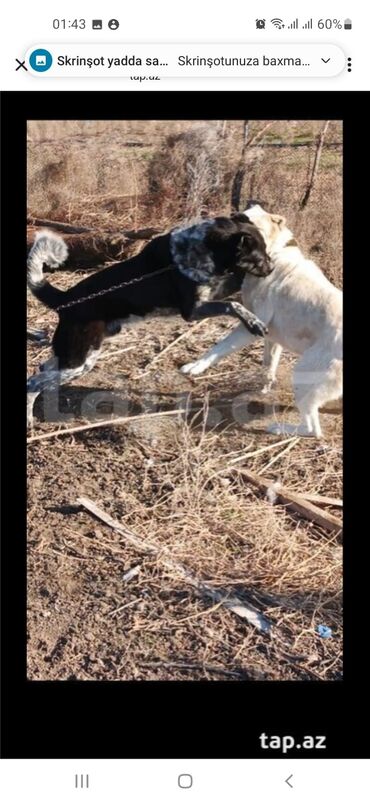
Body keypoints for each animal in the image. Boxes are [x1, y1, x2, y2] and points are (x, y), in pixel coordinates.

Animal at [27, 216, 272, 422]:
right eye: (259, 256)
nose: (271, 269)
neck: (203, 248)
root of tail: (65, 299)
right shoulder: (193, 310)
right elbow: (233, 304)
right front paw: (253, 322)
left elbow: (233, 288)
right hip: (79, 359)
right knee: (32, 382)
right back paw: (30, 418)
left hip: (74, 355)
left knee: (41, 369)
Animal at [181, 202, 342, 438]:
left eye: (245, 220)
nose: (223, 220)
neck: (276, 252)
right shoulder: (270, 337)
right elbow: (268, 365)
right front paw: (265, 388)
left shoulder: (248, 326)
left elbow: (218, 348)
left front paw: (195, 367)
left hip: (303, 376)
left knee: (313, 429)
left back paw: (281, 429)